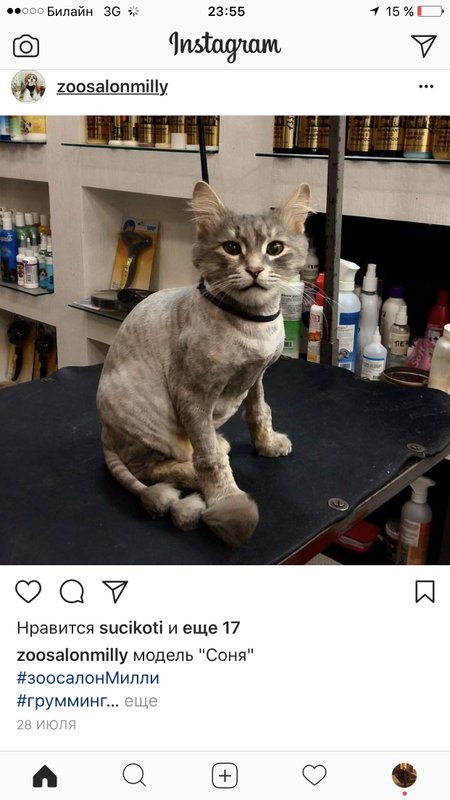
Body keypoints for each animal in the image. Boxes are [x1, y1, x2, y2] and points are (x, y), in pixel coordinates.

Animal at [96, 180, 311, 548]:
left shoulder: (256, 377)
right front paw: (226, 498)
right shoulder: (193, 397)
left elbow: (259, 411)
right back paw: (195, 472)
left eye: (275, 248)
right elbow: (209, 459)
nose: (255, 269)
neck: (254, 323)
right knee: (152, 467)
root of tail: (106, 437)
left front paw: (266, 444)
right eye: (231, 247)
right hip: (152, 421)